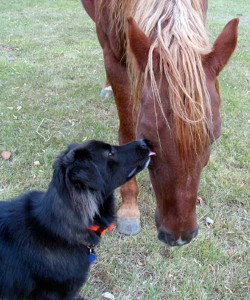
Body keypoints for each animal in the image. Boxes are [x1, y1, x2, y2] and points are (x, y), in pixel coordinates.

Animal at [81, 0, 238, 246]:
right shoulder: (115, 61)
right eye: (148, 140)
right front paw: (129, 207)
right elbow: (127, 130)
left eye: (214, 137)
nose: (179, 236)